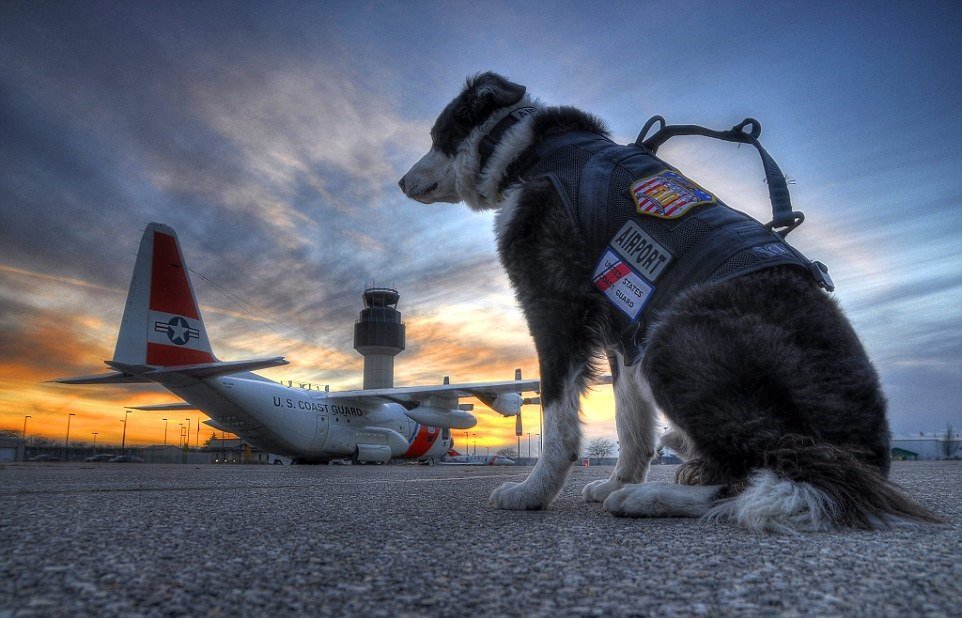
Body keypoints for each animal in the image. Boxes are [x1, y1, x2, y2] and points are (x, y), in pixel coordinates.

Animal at [398, 70, 936, 528]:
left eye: (435, 136)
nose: (402, 182)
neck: (526, 149)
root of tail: (869, 456)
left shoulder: (555, 304)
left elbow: (557, 417)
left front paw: (534, 492)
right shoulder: (622, 325)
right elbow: (630, 420)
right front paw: (616, 478)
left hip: (674, 339)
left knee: (763, 471)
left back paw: (649, 498)